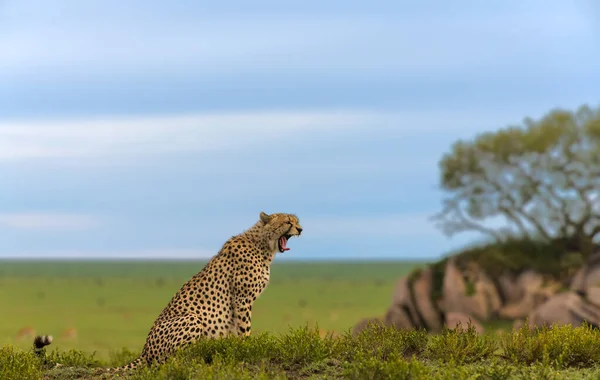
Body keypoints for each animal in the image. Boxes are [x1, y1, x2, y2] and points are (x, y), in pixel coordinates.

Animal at [35, 212, 302, 372]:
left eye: (296, 220)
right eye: (288, 222)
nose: (300, 229)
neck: (263, 245)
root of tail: (145, 350)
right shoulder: (242, 299)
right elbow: (244, 330)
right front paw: (247, 348)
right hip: (193, 319)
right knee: (169, 360)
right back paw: (199, 353)